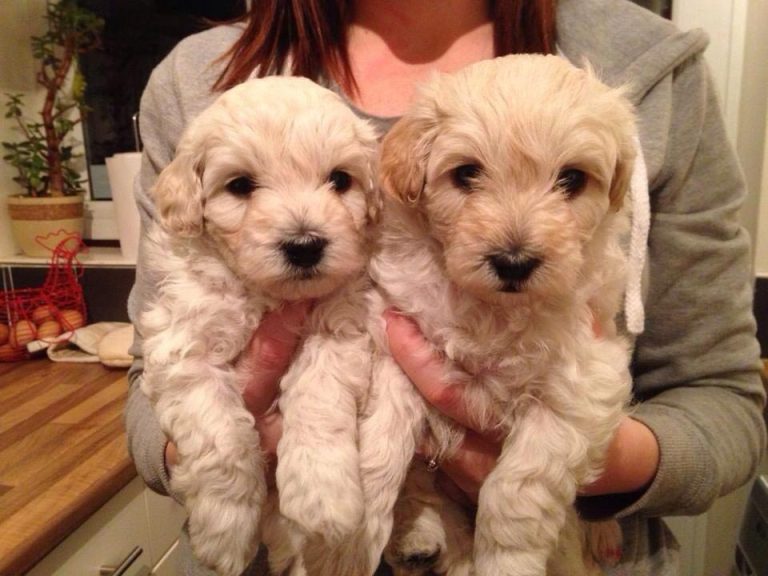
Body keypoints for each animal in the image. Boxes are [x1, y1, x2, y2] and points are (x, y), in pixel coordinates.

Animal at [140, 76, 380, 576]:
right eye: (240, 186)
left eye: (340, 179)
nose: (305, 245)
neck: (266, 294)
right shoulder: (181, 349)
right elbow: (220, 436)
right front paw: (225, 530)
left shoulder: (340, 324)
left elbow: (318, 396)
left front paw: (321, 495)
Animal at [360, 55, 636, 576]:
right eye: (466, 173)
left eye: (572, 179)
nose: (513, 262)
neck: (492, 309)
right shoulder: (398, 337)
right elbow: (384, 430)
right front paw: (357, 517)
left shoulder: (577, 389)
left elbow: (517, 493)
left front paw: (507, 561)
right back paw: (418, 538)